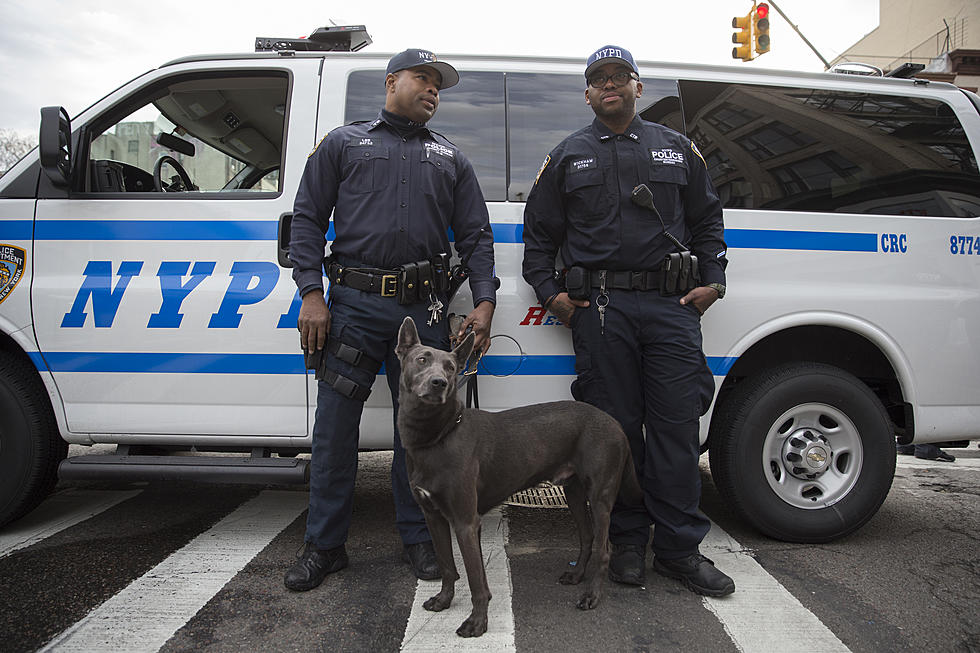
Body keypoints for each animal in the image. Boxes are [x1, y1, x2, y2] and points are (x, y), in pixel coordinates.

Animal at [394, 316, 640, 636]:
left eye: (450, 367)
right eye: (422, 359)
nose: (440, 384)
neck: (437, 436)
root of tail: (615, 423)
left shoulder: (466, 522)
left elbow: (476, 579)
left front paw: (477, 622)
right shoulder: (433, 517)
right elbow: (448, 566)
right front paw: (444, 600)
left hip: (600, 497)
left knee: (603, 548)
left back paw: (591, 596)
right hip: (574, 493)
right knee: (587, 537)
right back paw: (575, 575)